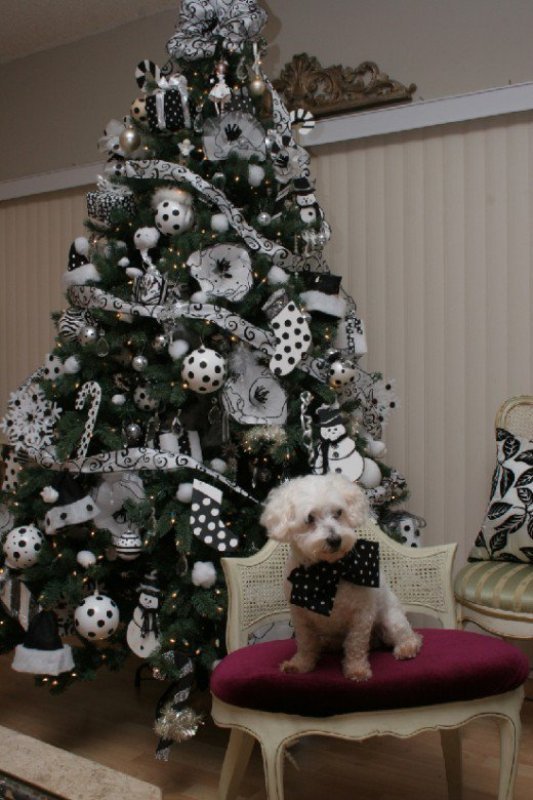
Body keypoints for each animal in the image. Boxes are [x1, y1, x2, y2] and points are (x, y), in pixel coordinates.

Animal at [260, 476, 422, 680]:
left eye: (338, 512)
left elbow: (356, 646)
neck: (328, 571)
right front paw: (301, 664)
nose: (335, 540)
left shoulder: (361, 616)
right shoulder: (300, 617)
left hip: (391, 620)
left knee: (409, 636)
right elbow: (305, 644)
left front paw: (356, 670)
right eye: (309, 518)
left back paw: (407, 647)